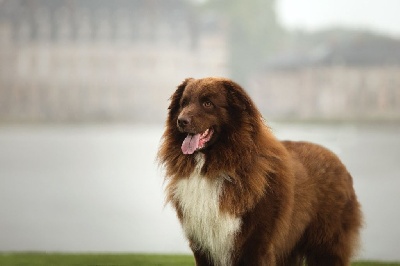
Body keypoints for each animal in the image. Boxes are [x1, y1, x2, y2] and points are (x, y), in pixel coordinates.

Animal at [159, 77, 362, 266]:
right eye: (184, 103)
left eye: (207, 103)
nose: (181, 121)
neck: (215, 166)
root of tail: (337, 159)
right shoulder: (203, 247)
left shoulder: (257, 246)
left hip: (326, 244)